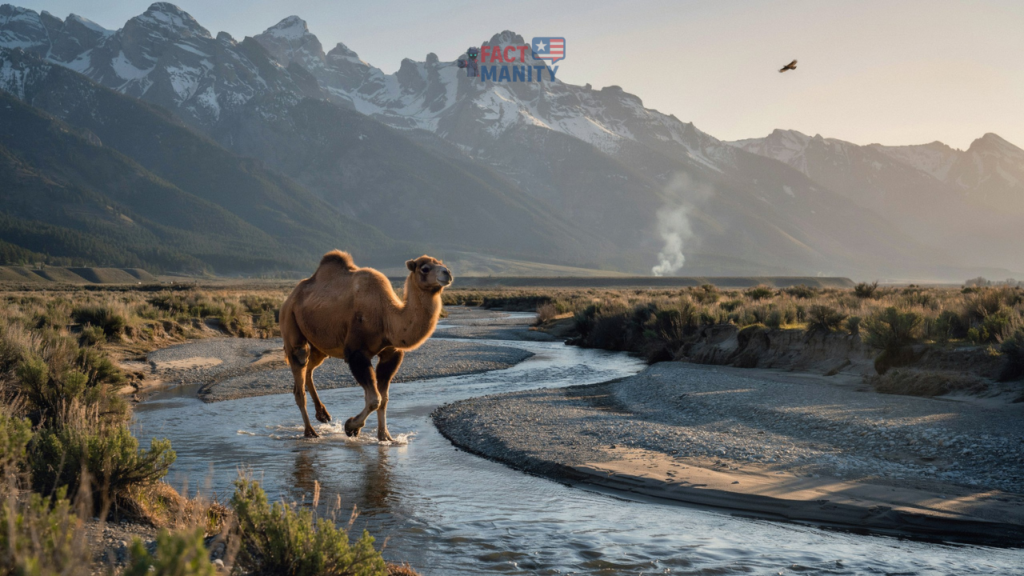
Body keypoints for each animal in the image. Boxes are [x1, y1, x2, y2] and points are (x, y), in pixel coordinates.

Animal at [279, 251, 453, 439]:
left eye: (442, 264)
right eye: (425, 268)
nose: (447, 273)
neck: (387, 317)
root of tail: (289, 298)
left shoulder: (391, 353)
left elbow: (384, 399)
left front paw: (385, 436)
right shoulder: (357, 353)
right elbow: (374, 399)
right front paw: (351, 426)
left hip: (319, 342)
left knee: (309, 368)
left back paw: (322, 414)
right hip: (290, 321)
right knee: (300, 367)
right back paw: (310, 431)